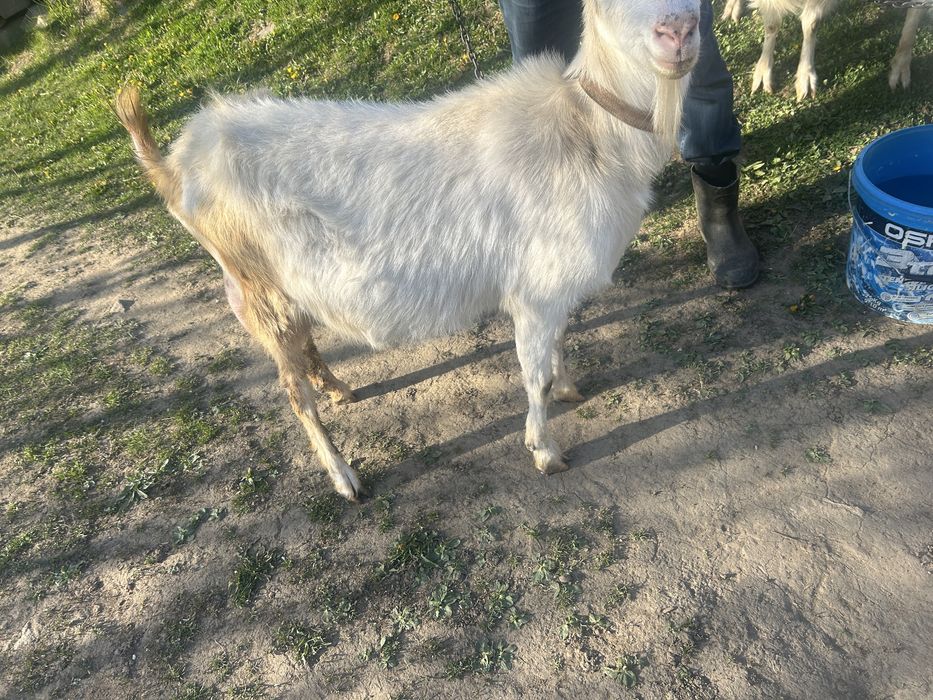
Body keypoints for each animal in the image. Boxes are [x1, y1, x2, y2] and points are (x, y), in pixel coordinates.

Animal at [115, 0, 701, 502]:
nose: (678, 31)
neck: (588, 131)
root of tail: (178, 163)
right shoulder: (536, 289)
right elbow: (534, 374)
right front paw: (546, 451)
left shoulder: (551, 287)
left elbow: (558, 344)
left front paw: (570, 389)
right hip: (259, 290)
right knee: (293, 393)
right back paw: (345, 477)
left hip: (282, 289)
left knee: (304, 347)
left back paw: (339, 389)